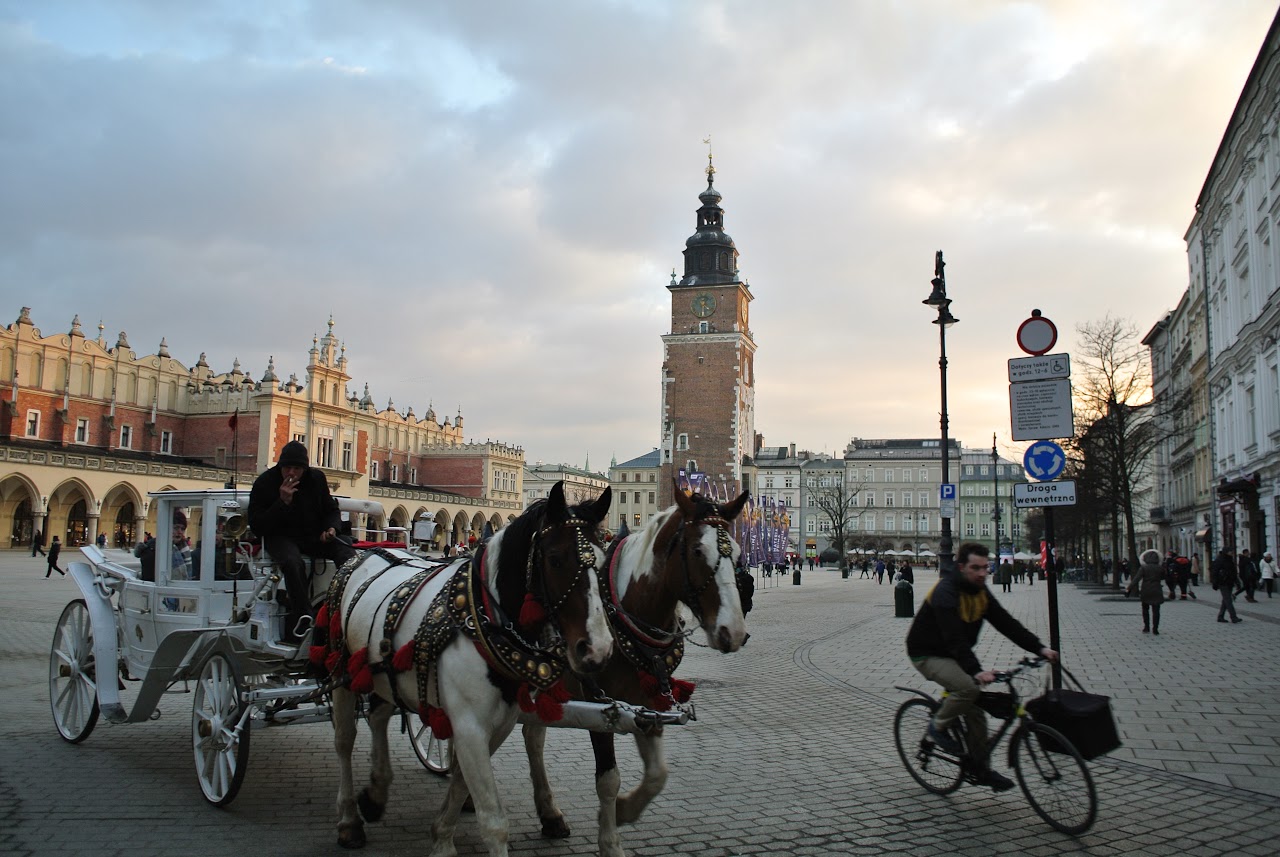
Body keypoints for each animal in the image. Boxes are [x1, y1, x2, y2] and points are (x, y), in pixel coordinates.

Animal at [325, 480, 614, 854]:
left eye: (604, 561)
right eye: (555, 559)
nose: (599, 648)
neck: (481, 619)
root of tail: (366, 552)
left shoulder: (495, 723)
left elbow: (462, 780)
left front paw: (441, 834)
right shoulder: (470, 725)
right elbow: (493, 821)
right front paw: (449, 839)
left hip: (381, 673)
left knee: (377, 717)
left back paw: (375, 794)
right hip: (342, 671)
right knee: (344, 740)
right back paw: (349, 821)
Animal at [524, 486, 752, 857]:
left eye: (739, 553)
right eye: (697, 550)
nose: (734, 632)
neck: (625, 611)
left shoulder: (650, 701)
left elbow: (658, 774)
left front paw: (624, 810)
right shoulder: (599, 705)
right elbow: (608, 780)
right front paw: (610, 842)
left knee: (532, 736)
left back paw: (549, 814)